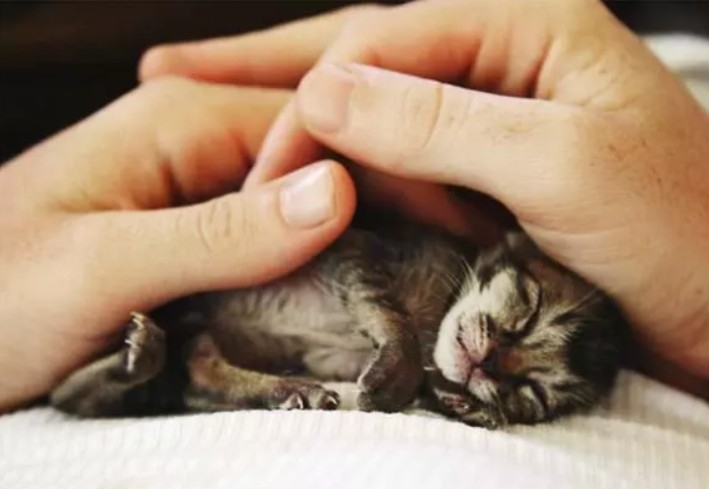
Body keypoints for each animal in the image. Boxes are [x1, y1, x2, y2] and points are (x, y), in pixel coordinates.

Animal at [49, 222, 628, 429]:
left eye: (530, 392)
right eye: (530, 308)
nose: (487, 362)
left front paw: (463, 403)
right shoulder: (352, 251)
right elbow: (386, 311)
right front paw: (396, 376)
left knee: (193, 372)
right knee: (69, 394)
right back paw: (137, 353)